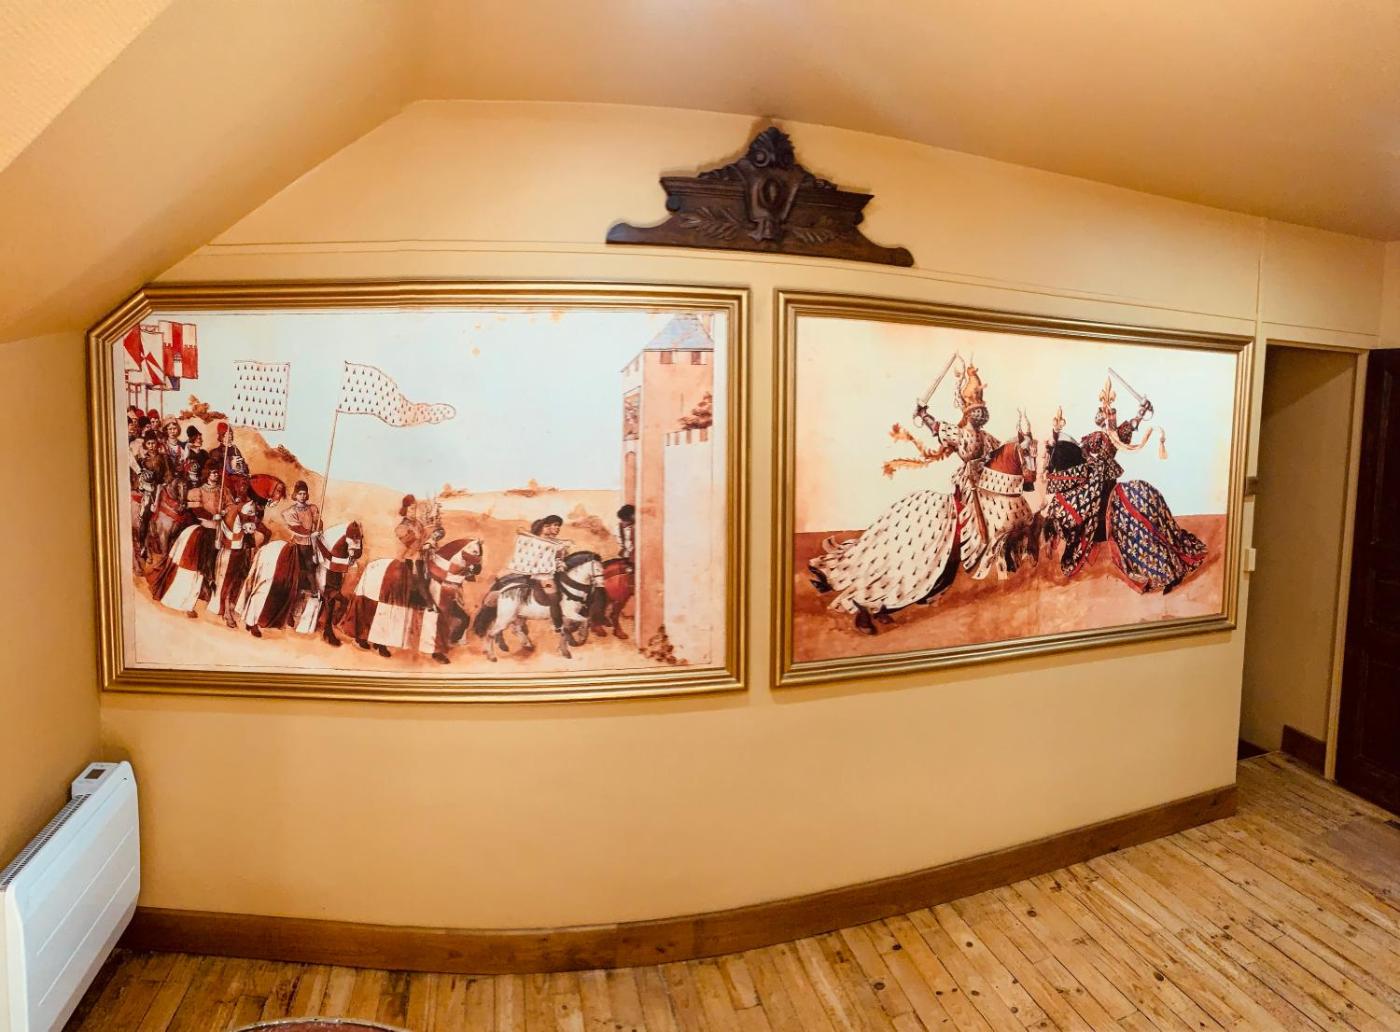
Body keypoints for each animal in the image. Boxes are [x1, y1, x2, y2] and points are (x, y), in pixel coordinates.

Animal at [343, 537, 484, 661]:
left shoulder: (451, 605)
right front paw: (439, 654)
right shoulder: (440, 608)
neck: (443, 573)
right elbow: (439, 627)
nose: (478, 570)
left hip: (372, 600)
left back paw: (366, 643)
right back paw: (379, 648)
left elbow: (465, 619)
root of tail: (371, 565)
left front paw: (455, 639)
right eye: (475, 552)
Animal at [472, 551, 608, 661]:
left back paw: (526, 645)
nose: (601, 585)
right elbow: (585, 620)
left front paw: (566, 649)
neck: (571, 586)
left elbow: (566, 630)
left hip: (519, 616)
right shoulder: (570, 613)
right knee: (491, 633)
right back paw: (492, 656)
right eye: (597, 569)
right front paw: (582, 637)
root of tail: (502, 591)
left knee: (515, 630)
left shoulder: (567, 617)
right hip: (505, 618)